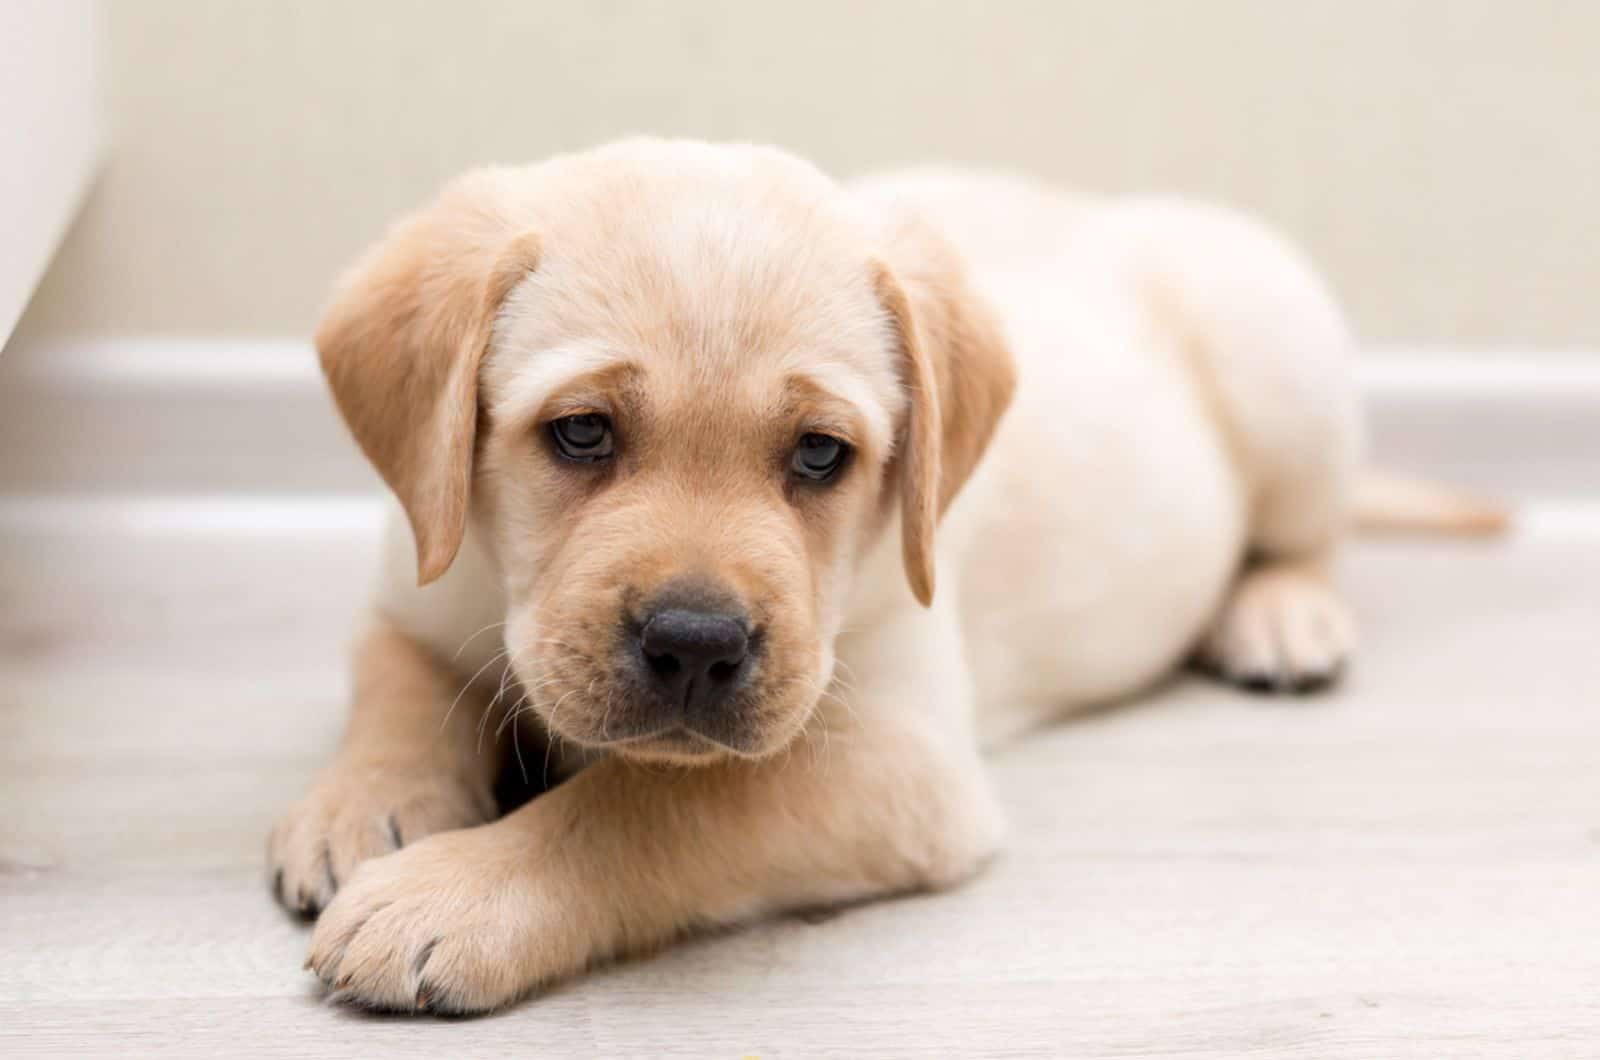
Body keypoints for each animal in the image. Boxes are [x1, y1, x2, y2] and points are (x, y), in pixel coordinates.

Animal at [265, 139, 1497, 1011]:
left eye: (820, 455)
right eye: (579, 434)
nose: (697, 643)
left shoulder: (898, 757)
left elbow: (655, 801)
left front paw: (456, 892)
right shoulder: (414, 584)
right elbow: (397, 686)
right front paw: (370, 805)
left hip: (1284, 371)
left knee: (1307, 533)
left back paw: (1281, 617)